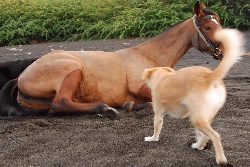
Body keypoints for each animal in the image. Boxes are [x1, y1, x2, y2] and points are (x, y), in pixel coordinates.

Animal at [0, 1, 223, 118]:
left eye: (218, 23)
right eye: (207, 27)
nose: (223, 50)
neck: (149, 55)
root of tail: (21, 76)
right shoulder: (139, 86)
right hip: (72, 68)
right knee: (60, 103)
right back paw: (105, 108)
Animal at [142, 28, 245, 166]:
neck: (161, 77)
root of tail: (208, 77)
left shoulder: (158, 115)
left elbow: (156, 130)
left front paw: (152, 138)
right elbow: (199, 133)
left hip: (198, 119)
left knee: (215, 135)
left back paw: (221, 159)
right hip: (203, 116)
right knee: (207, 135)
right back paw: (198, 146)